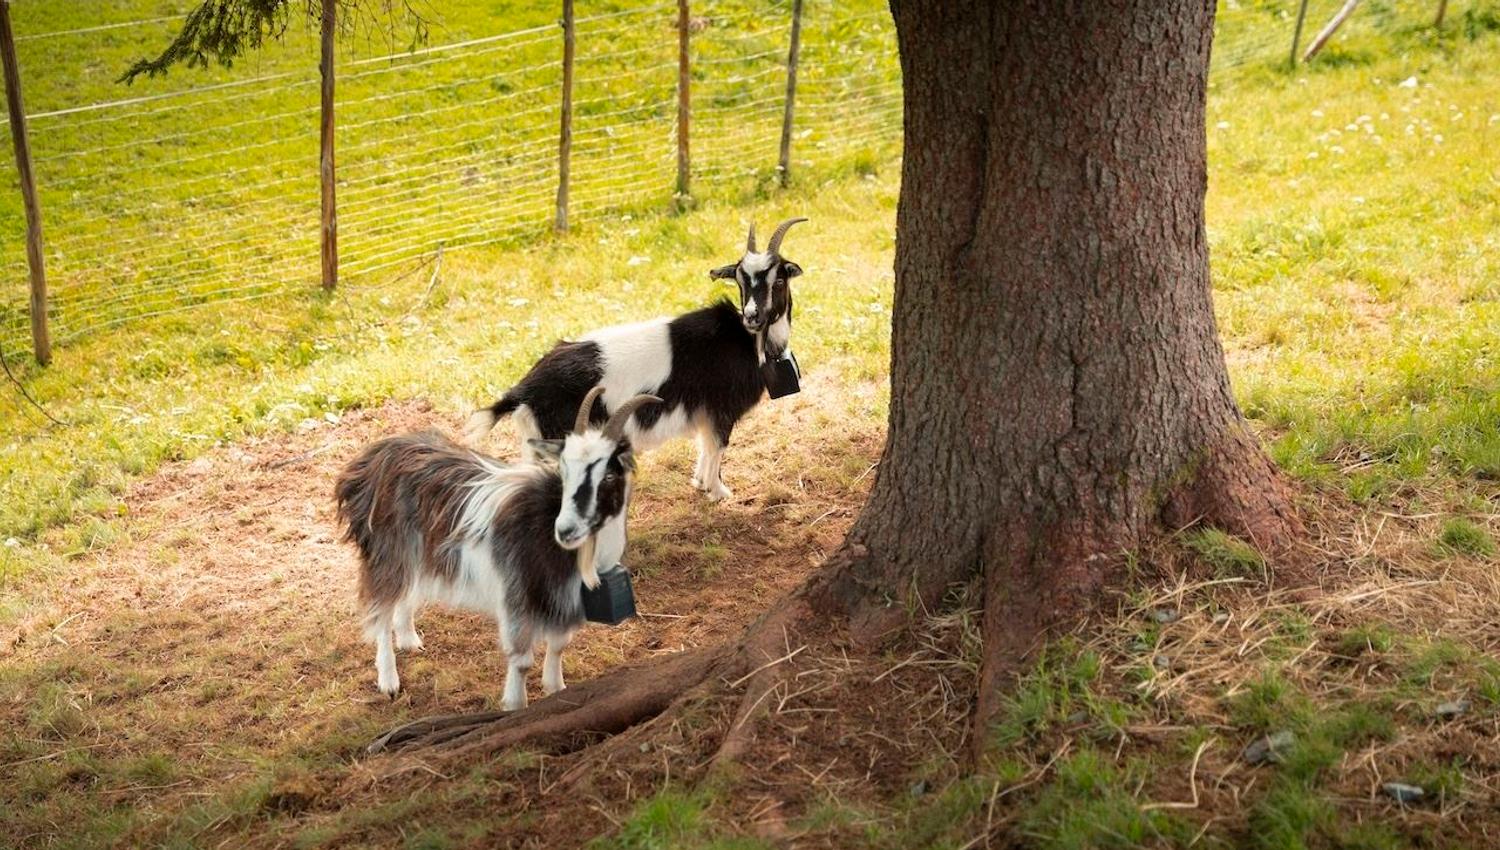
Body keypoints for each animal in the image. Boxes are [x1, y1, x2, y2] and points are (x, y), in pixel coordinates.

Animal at [335, 388, 661, 708]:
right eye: (563, 470)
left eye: (609, 475)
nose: (565, 530)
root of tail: (376, 456)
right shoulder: (518, 595)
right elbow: (522, 661)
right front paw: (516, 704)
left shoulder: (563, 598)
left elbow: (559, 645)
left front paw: (556, 688)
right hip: (388, 553)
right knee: (381, 610)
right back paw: (389, 680)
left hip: (419, 554)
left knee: (407, 592)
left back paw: (408, 639)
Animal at [465, 217, 807, 502]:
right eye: (739, 280)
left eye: (778, 280)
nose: (752, 316)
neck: (746, 339)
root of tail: (522, 392)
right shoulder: (721, 409)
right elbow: (717, 448)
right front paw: (718, 491)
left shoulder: (704, 412)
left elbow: (704, 446)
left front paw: (700, 483)